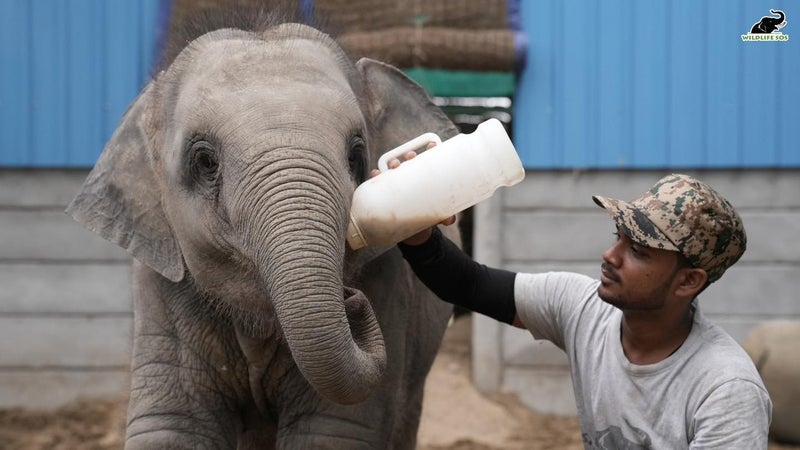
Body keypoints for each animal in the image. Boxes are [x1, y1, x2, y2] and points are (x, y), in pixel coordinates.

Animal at [69, 10, 462, 450]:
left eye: (357, 153)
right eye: (205, 161)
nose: (353, 298)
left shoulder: (388, 281)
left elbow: (331, 430)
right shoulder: (161, 287)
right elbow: (176, 426)